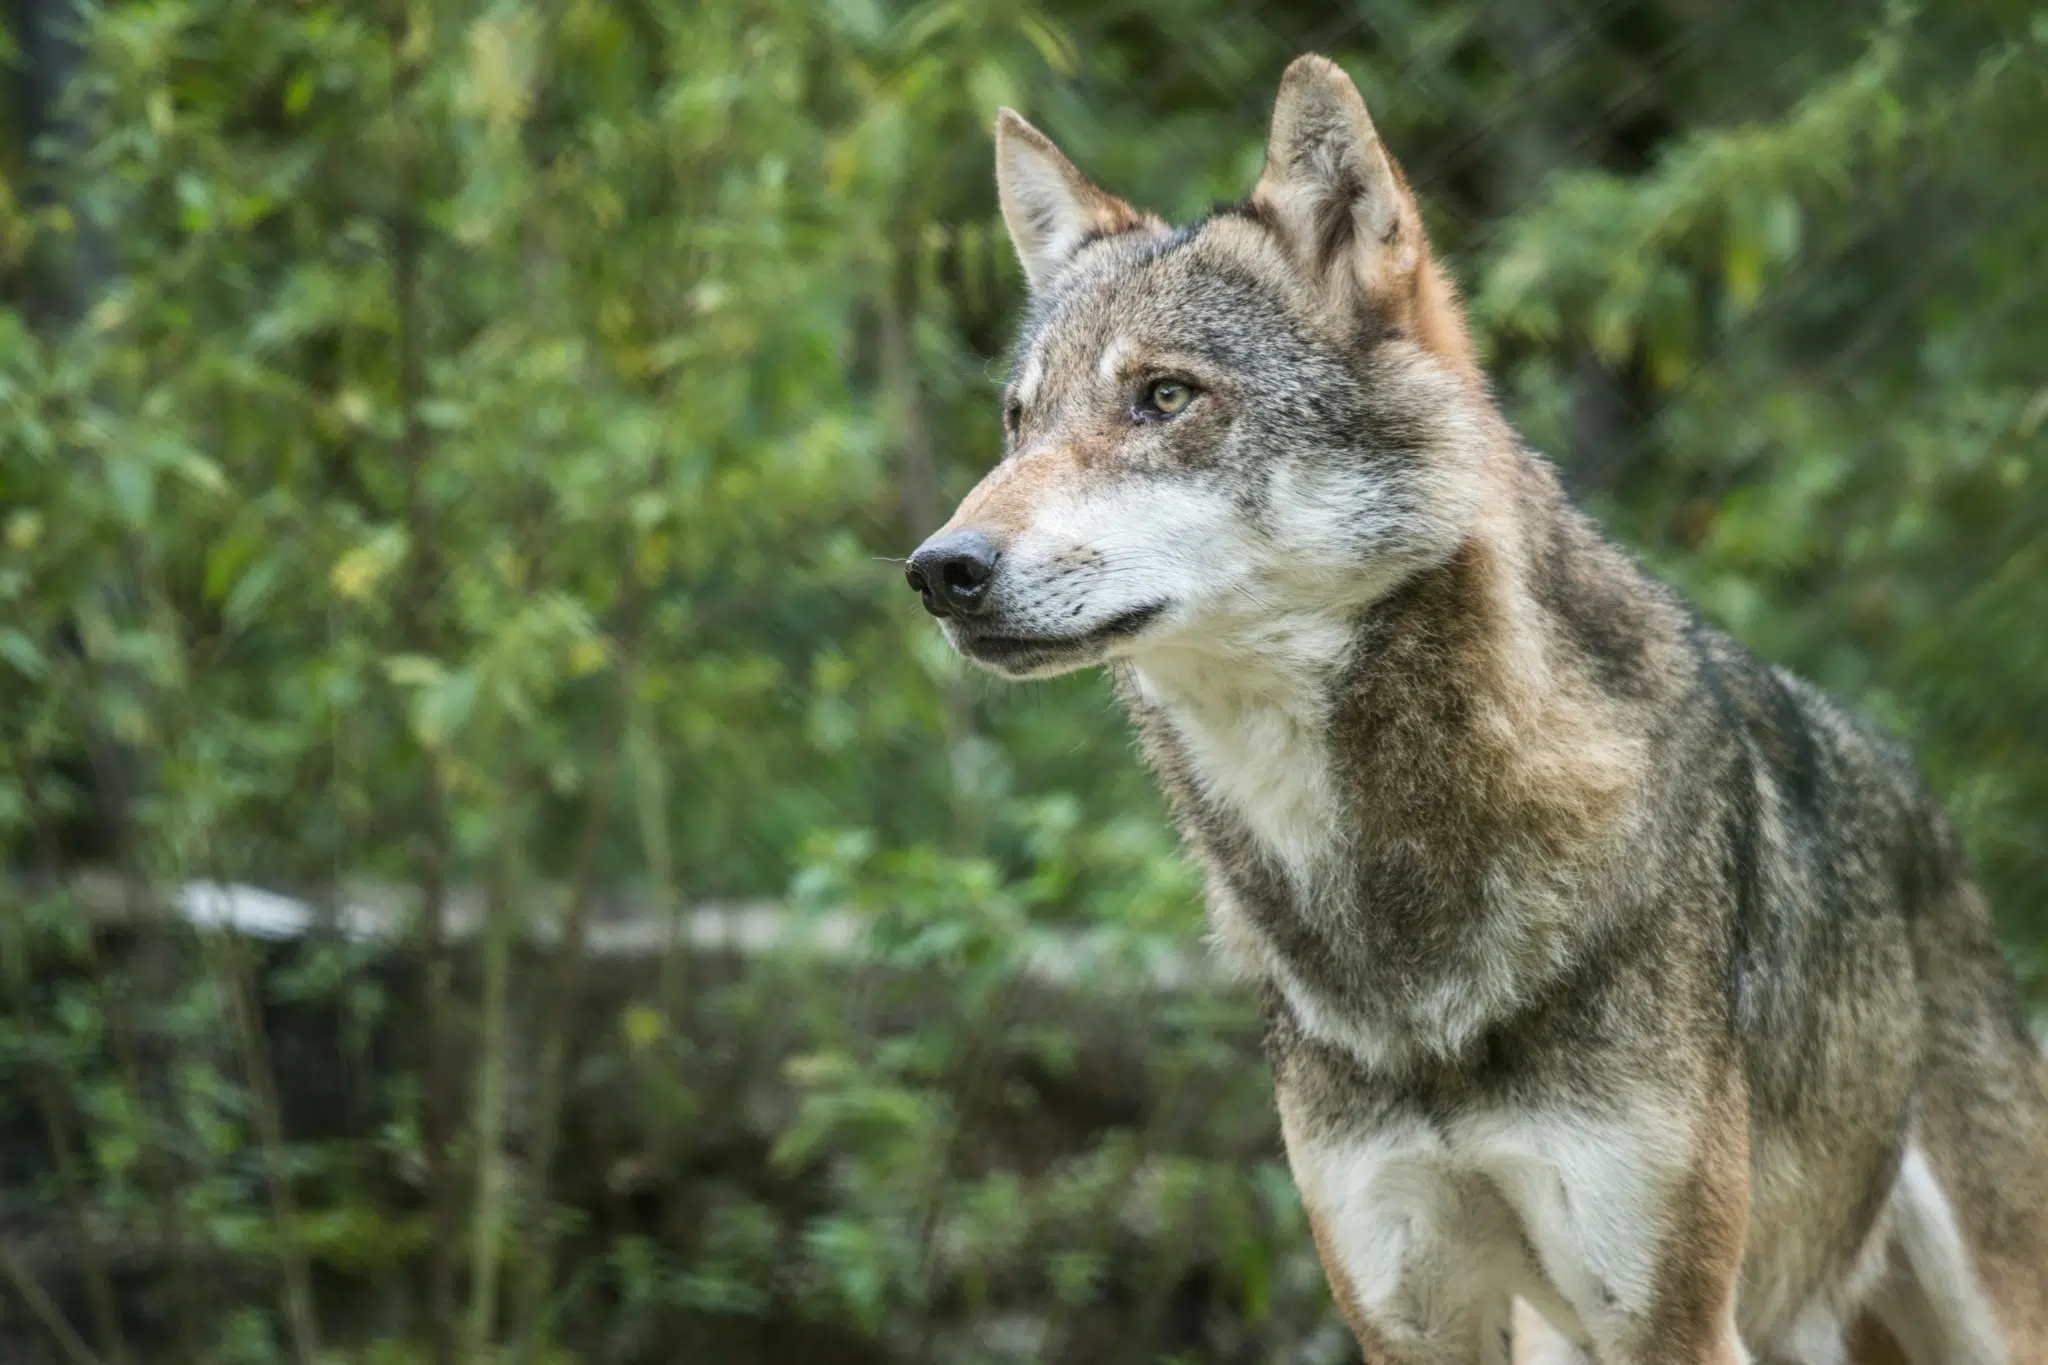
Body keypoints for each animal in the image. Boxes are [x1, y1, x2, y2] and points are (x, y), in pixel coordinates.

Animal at [909, 53, 2048, 1365]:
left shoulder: (1668, 1317)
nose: (938, 570)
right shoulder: (1407, 1308)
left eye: (1163, 396)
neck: (1398, 945)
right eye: (1016, 420)